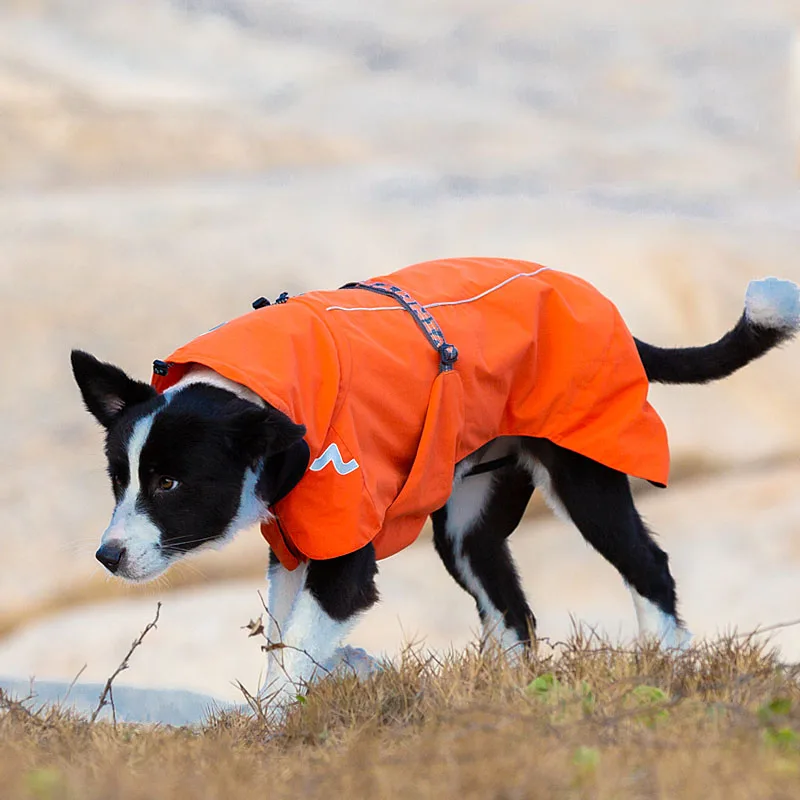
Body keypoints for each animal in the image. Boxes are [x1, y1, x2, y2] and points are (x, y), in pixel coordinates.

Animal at [72, 260, 796, 704]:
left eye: (169, 483)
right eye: (119, 479)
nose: (107, 556)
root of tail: (618, 323)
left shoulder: (345, 566)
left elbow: (296, 655)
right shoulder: (293, 551)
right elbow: (281, 649)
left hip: (584, 482)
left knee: (650, 568)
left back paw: (666, 671)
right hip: (467, 527)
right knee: (514, 614)